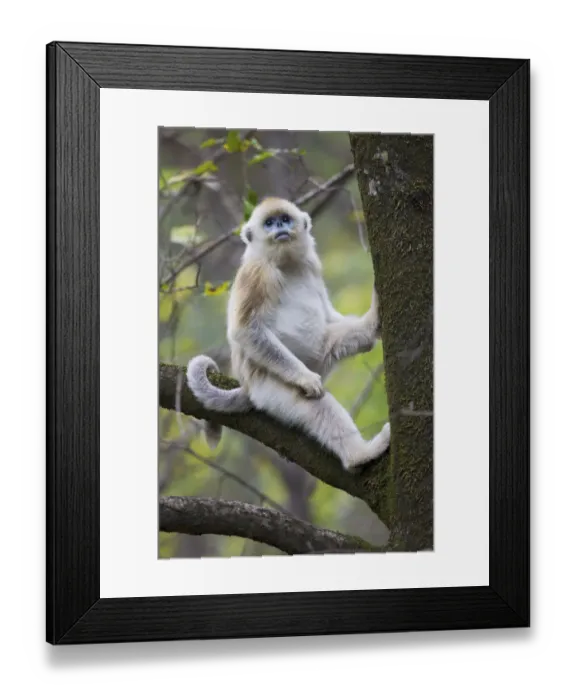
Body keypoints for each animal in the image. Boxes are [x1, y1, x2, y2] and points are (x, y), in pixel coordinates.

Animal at [186, 197, 390, 473]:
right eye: (269, 223)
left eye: (285, 219)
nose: (279, 229)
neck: (285, 263)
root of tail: (247, 388)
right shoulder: (258, 272)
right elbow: (245, 330)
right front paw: (306, 379)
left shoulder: (311, 264)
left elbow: (328, 315)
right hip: (270, 390)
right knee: (316, 406)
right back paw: (360, 455)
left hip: (316, 358)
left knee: (338, 339)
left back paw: (373, 323)